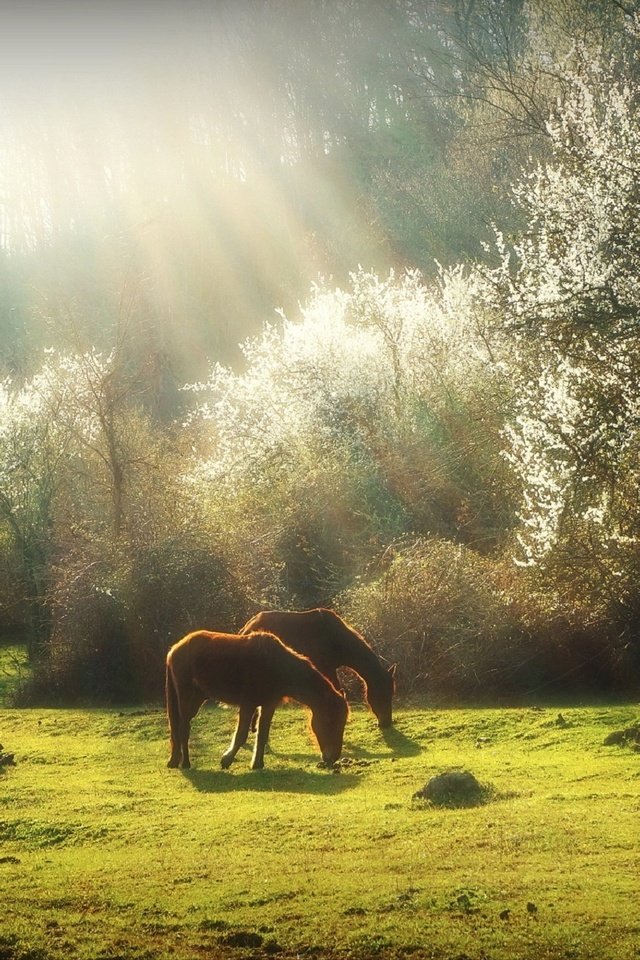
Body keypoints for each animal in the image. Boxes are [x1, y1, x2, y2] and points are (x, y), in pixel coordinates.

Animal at [164, 632, 344, 772]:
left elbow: (262, 734)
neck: (276, 665)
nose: (333, 758)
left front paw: (257, 764)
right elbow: (241, 735)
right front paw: (226, 759)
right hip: (187, 699)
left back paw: (176, 760)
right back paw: (185, 763)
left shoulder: (268, 705)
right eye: (331, 721)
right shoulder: (248, 704)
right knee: (183, 728)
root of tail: (174, 649)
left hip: (196, 699)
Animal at [239, 608, 396, 728]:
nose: (386, 723)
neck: (335, 638)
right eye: (382, 694)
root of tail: (246, 628)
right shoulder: (327, 669)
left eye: (391, 693)